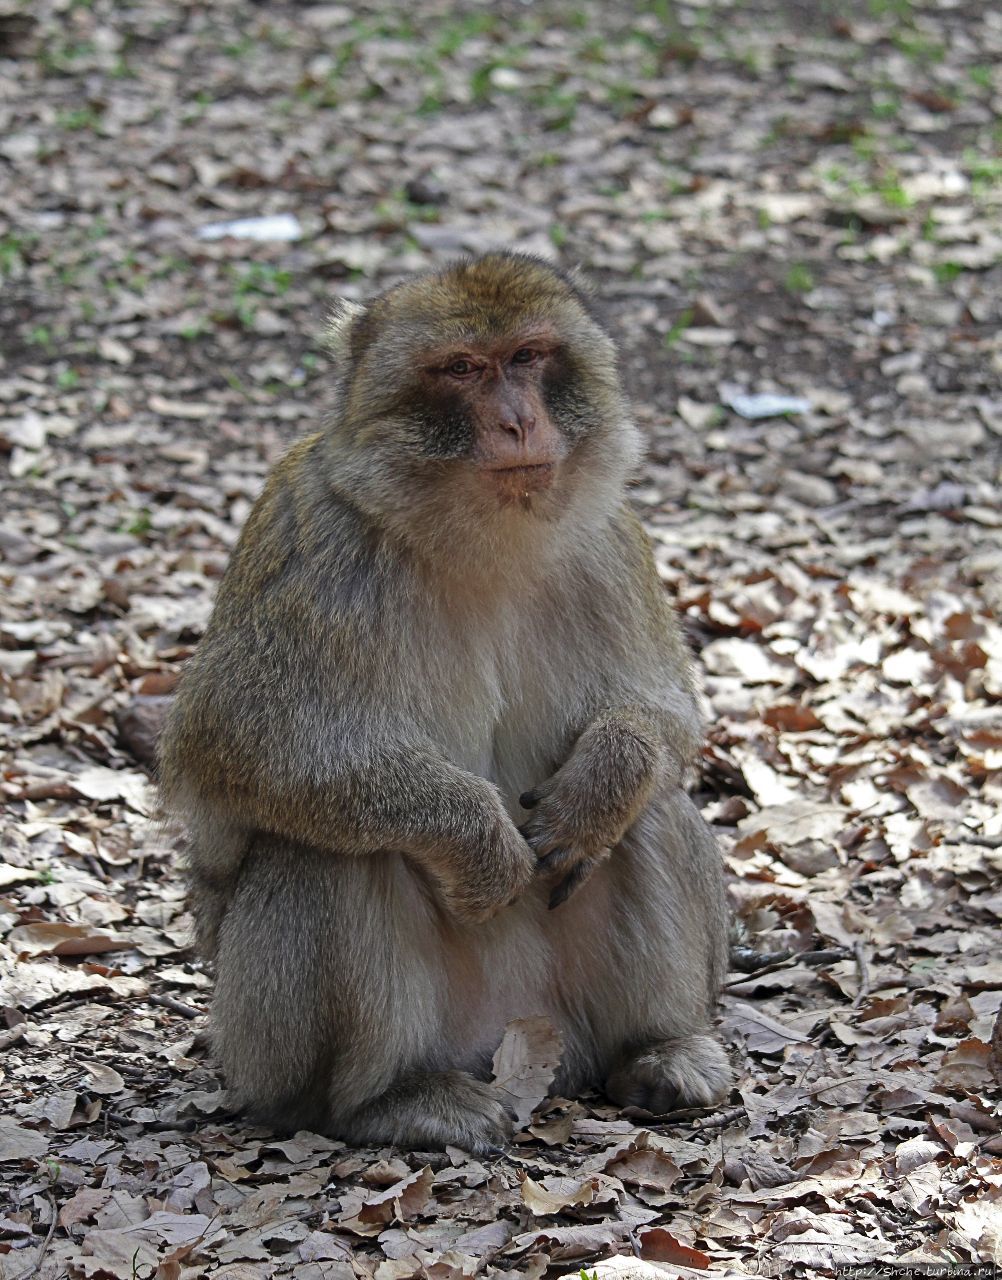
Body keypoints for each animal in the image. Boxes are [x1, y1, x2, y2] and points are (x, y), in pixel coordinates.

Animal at [160, 249, 731, 1152]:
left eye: (528, 356)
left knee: (653, 812)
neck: (478, 538)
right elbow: (237, 744)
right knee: (330, 849)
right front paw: (477, 842)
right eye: (463, 369)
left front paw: (600, 784)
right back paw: (388, 1099)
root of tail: (524, 1048)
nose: (519, 423)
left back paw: (658, 1049)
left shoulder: (613, 540)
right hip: (261, 1048)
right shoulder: (320, 548)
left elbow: (664, 715)